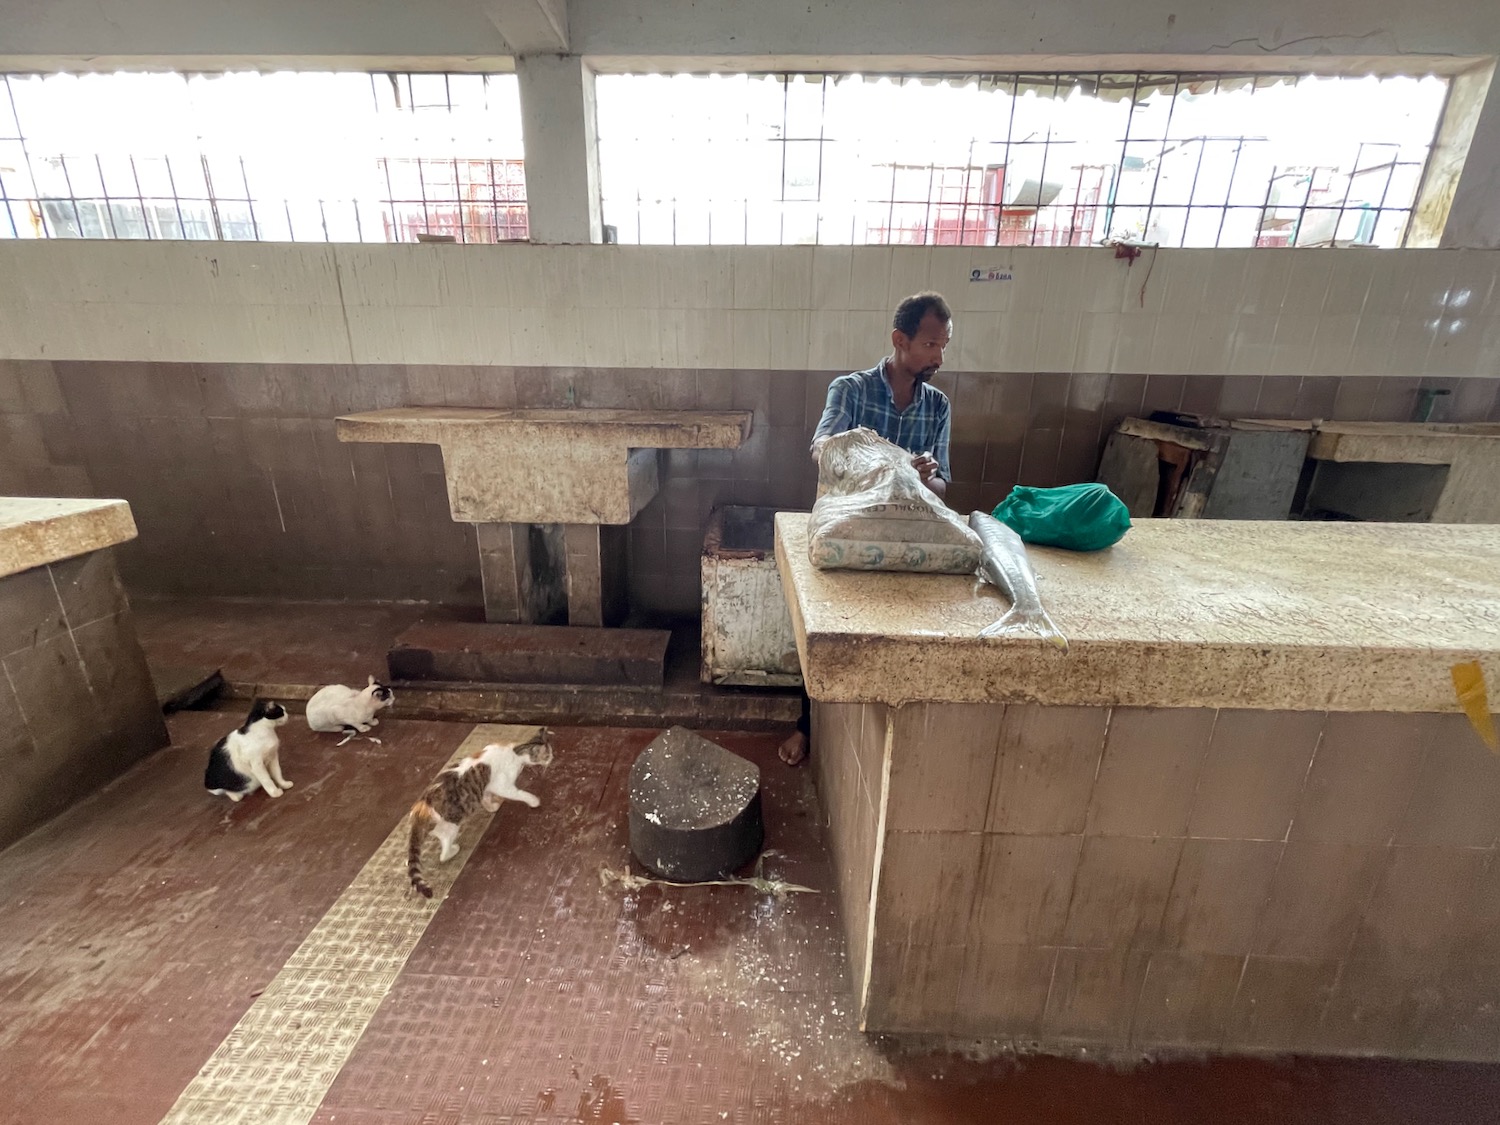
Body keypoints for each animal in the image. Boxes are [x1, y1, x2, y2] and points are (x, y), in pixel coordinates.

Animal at [408, 735, 555, 906]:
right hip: (451, 825)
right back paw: (453, 849)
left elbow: (485, 797)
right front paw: (533, 801)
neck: (515, 750)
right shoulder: (503, 786)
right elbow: (520, 793)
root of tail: (420, 809)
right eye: (547, 754)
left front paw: (491, 806)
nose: (553, 757)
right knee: (443, 853)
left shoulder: (487, 786)